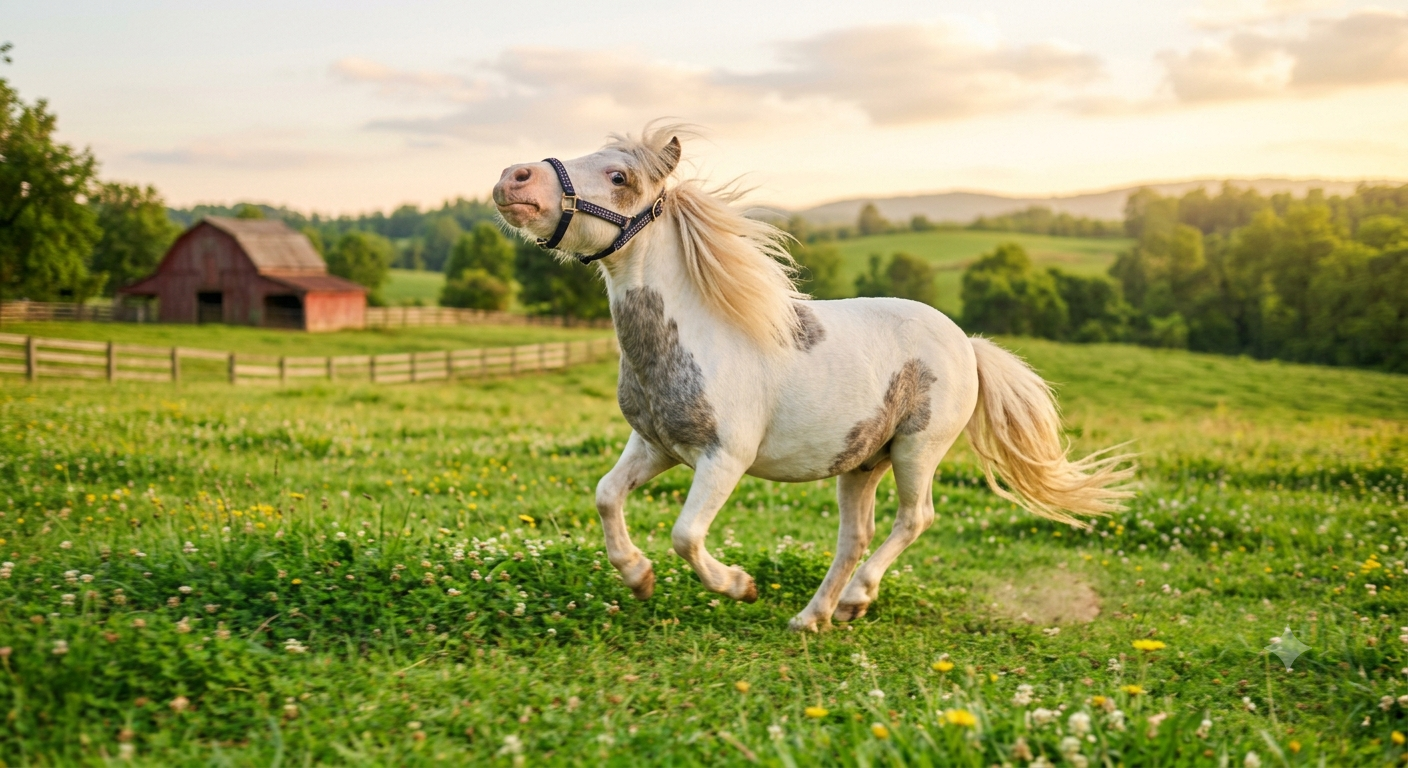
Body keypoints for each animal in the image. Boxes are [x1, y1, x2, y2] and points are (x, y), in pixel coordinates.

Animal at [492, 124, 1134, 632]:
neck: (696, 336)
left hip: (917, 450)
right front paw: (638, 576)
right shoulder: (657, 446)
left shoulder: (724, 459)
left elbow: (686, 535)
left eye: (619, 175)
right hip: (862, 463)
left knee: (914, 520)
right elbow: (606, 495)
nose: (512, 179)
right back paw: (816, 615)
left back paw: (852, 600)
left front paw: (739, 585)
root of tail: (968, 345)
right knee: (856, 537)